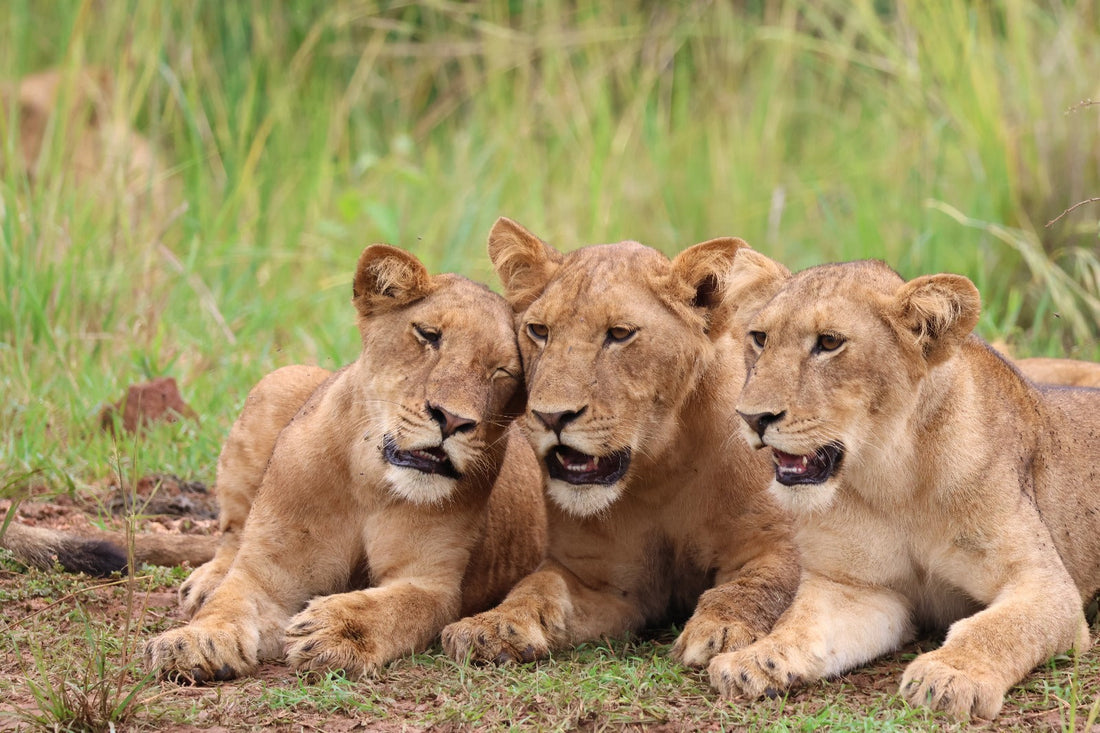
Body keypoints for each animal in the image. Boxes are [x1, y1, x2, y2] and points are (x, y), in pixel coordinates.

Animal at [143, 244, 546, 683]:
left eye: (504, 371)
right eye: (428, 335)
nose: (453, 420)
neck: (370, 480)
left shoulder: (431, 583)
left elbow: (394, 607)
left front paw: (333, 631)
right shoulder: (269, 570)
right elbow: (230, 602)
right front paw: (194, 641)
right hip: (279, 381)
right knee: (232, 535)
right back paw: (206, 583)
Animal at [440, 218, 800, 669]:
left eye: (619, 334)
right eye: (539, 331)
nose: (551, 416)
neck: (660, 469)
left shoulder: (779, 546)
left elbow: (754, 586)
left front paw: (721, 630)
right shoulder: (597, 580)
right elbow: (536, 588)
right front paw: (490, 625)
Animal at [706, 253, 1100, 720]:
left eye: (829, 342)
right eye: (760, 338)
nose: (752, 417)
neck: (895, 480)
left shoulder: (1046, 587)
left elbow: (995, 628)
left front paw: (949, 676)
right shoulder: (856, 588)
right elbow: (801, 626)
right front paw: (754, 660)